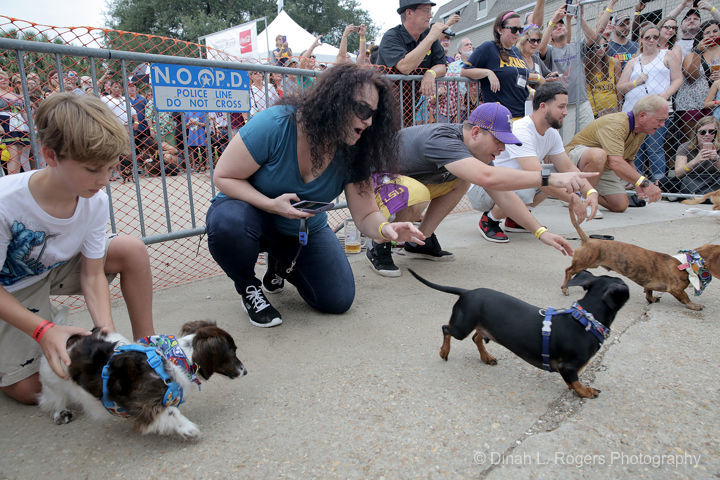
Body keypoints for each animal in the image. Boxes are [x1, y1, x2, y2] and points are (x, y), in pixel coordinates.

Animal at [39, 318, 248, 438]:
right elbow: (171, 412)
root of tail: (69, 341)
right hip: (54, 379)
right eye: (232, 352)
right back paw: (60, 413)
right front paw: (188, 429)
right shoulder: (147, 405)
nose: (245, 371)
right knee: (52, 397)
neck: (176, 358)